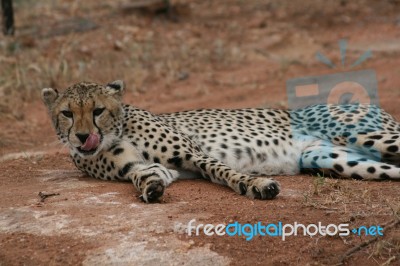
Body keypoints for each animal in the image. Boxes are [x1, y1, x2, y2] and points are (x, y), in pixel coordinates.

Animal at [42, 80, 400, 203]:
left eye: (97, 110)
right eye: (67, 113)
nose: (82, 136)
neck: (115, 133)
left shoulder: (195, 154)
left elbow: (225, 172)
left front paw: (257, 186)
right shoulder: (145, 168)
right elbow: (147, 176)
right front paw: (150, 190)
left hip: (370, 136)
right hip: (333, 159)